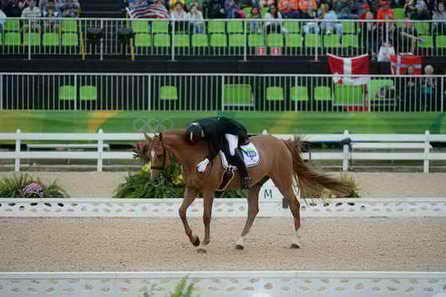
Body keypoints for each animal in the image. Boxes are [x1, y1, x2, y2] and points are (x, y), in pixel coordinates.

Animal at [148, 130, 354, 250]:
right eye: (148, 154)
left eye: (158, 154)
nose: (153, 178)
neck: (195, 156)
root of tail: (282, 142)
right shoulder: (192, 189)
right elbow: (181, 211)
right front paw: (194, 239)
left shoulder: (208, 190)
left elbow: (206, 215)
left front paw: (204, 243)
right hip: (255, 184)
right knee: (253, 210)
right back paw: (240, 241)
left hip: (282, 179)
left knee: (294, 204)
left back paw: (296, 241)